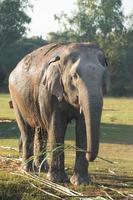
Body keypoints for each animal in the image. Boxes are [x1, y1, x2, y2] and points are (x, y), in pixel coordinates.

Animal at [8, 42, 109, 186]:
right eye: (74, 76)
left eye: (103, 77)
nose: (89, 155)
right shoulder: (48, 92)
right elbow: (57, 127)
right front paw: (57, 180)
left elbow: (83, 128)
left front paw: (81, 182)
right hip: (17, 99)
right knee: (27, 130)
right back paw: (28, 170)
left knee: (41, 131)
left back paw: (42, 168)